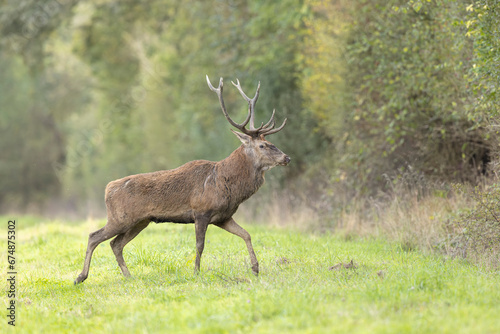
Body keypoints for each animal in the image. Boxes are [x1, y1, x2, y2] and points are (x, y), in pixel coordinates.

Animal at [75, 75, 292, 284]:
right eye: (263, 145)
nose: (286, 157)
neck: (229, 185)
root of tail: (107, 188)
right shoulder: (201, 212)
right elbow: (200, 245)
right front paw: (196, 273)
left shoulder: (223, 217)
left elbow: (246, 234)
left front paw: (255, 268)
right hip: (120, 218)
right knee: (94, 236)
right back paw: (80, 277)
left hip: (140, 221)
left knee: (115, 244)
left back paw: (129, 276)